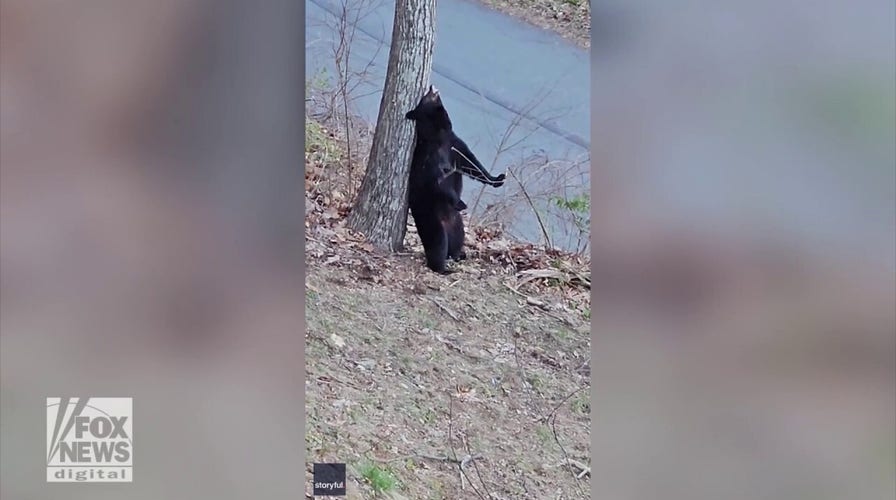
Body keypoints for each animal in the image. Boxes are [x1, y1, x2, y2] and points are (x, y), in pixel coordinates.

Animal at [404, 85, 504, 274]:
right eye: (423, 98)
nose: (431, 86)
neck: (438, 133)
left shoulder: (454, 146)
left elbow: (472, 164)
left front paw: (498, 178)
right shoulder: (428, 157)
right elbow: (437, 182)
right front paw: (460, 202)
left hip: (458, 226)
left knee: (457, 241)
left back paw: (458, 255)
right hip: (431, 220)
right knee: (437, 244)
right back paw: (443, 267)